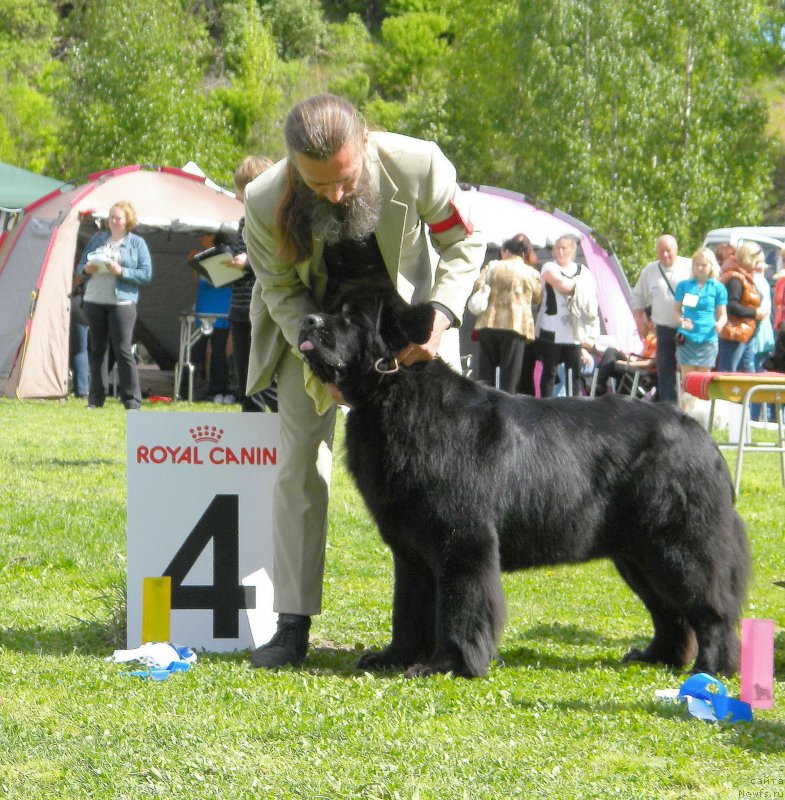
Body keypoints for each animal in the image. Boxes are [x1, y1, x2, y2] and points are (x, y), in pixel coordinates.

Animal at [298, 286, 748, 676]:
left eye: (351, 317)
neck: (391, 396)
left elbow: (462, 606)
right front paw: (393, 658)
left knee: (711, 608)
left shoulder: (464, 541)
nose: (307, 320)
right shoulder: (411, 551)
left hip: (678, 544)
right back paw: (657, 656)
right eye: (328, 307)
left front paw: (448, 664)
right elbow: (408, 608)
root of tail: (699, 433)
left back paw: (711, 669)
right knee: (669, 611)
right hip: (637, 554)